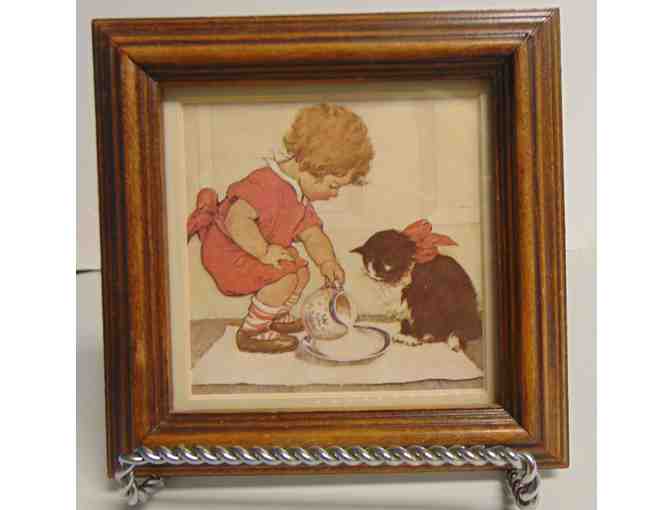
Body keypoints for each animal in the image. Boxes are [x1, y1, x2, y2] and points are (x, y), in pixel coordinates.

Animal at [351, 220, 482, 351]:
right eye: (369, 259)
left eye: (387, 259)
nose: (375, 270)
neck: (396, 281)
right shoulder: (405, 309)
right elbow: (406, 320)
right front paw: (404, 334)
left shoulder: (424, 303)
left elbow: (421, 319)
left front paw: (413, 337)